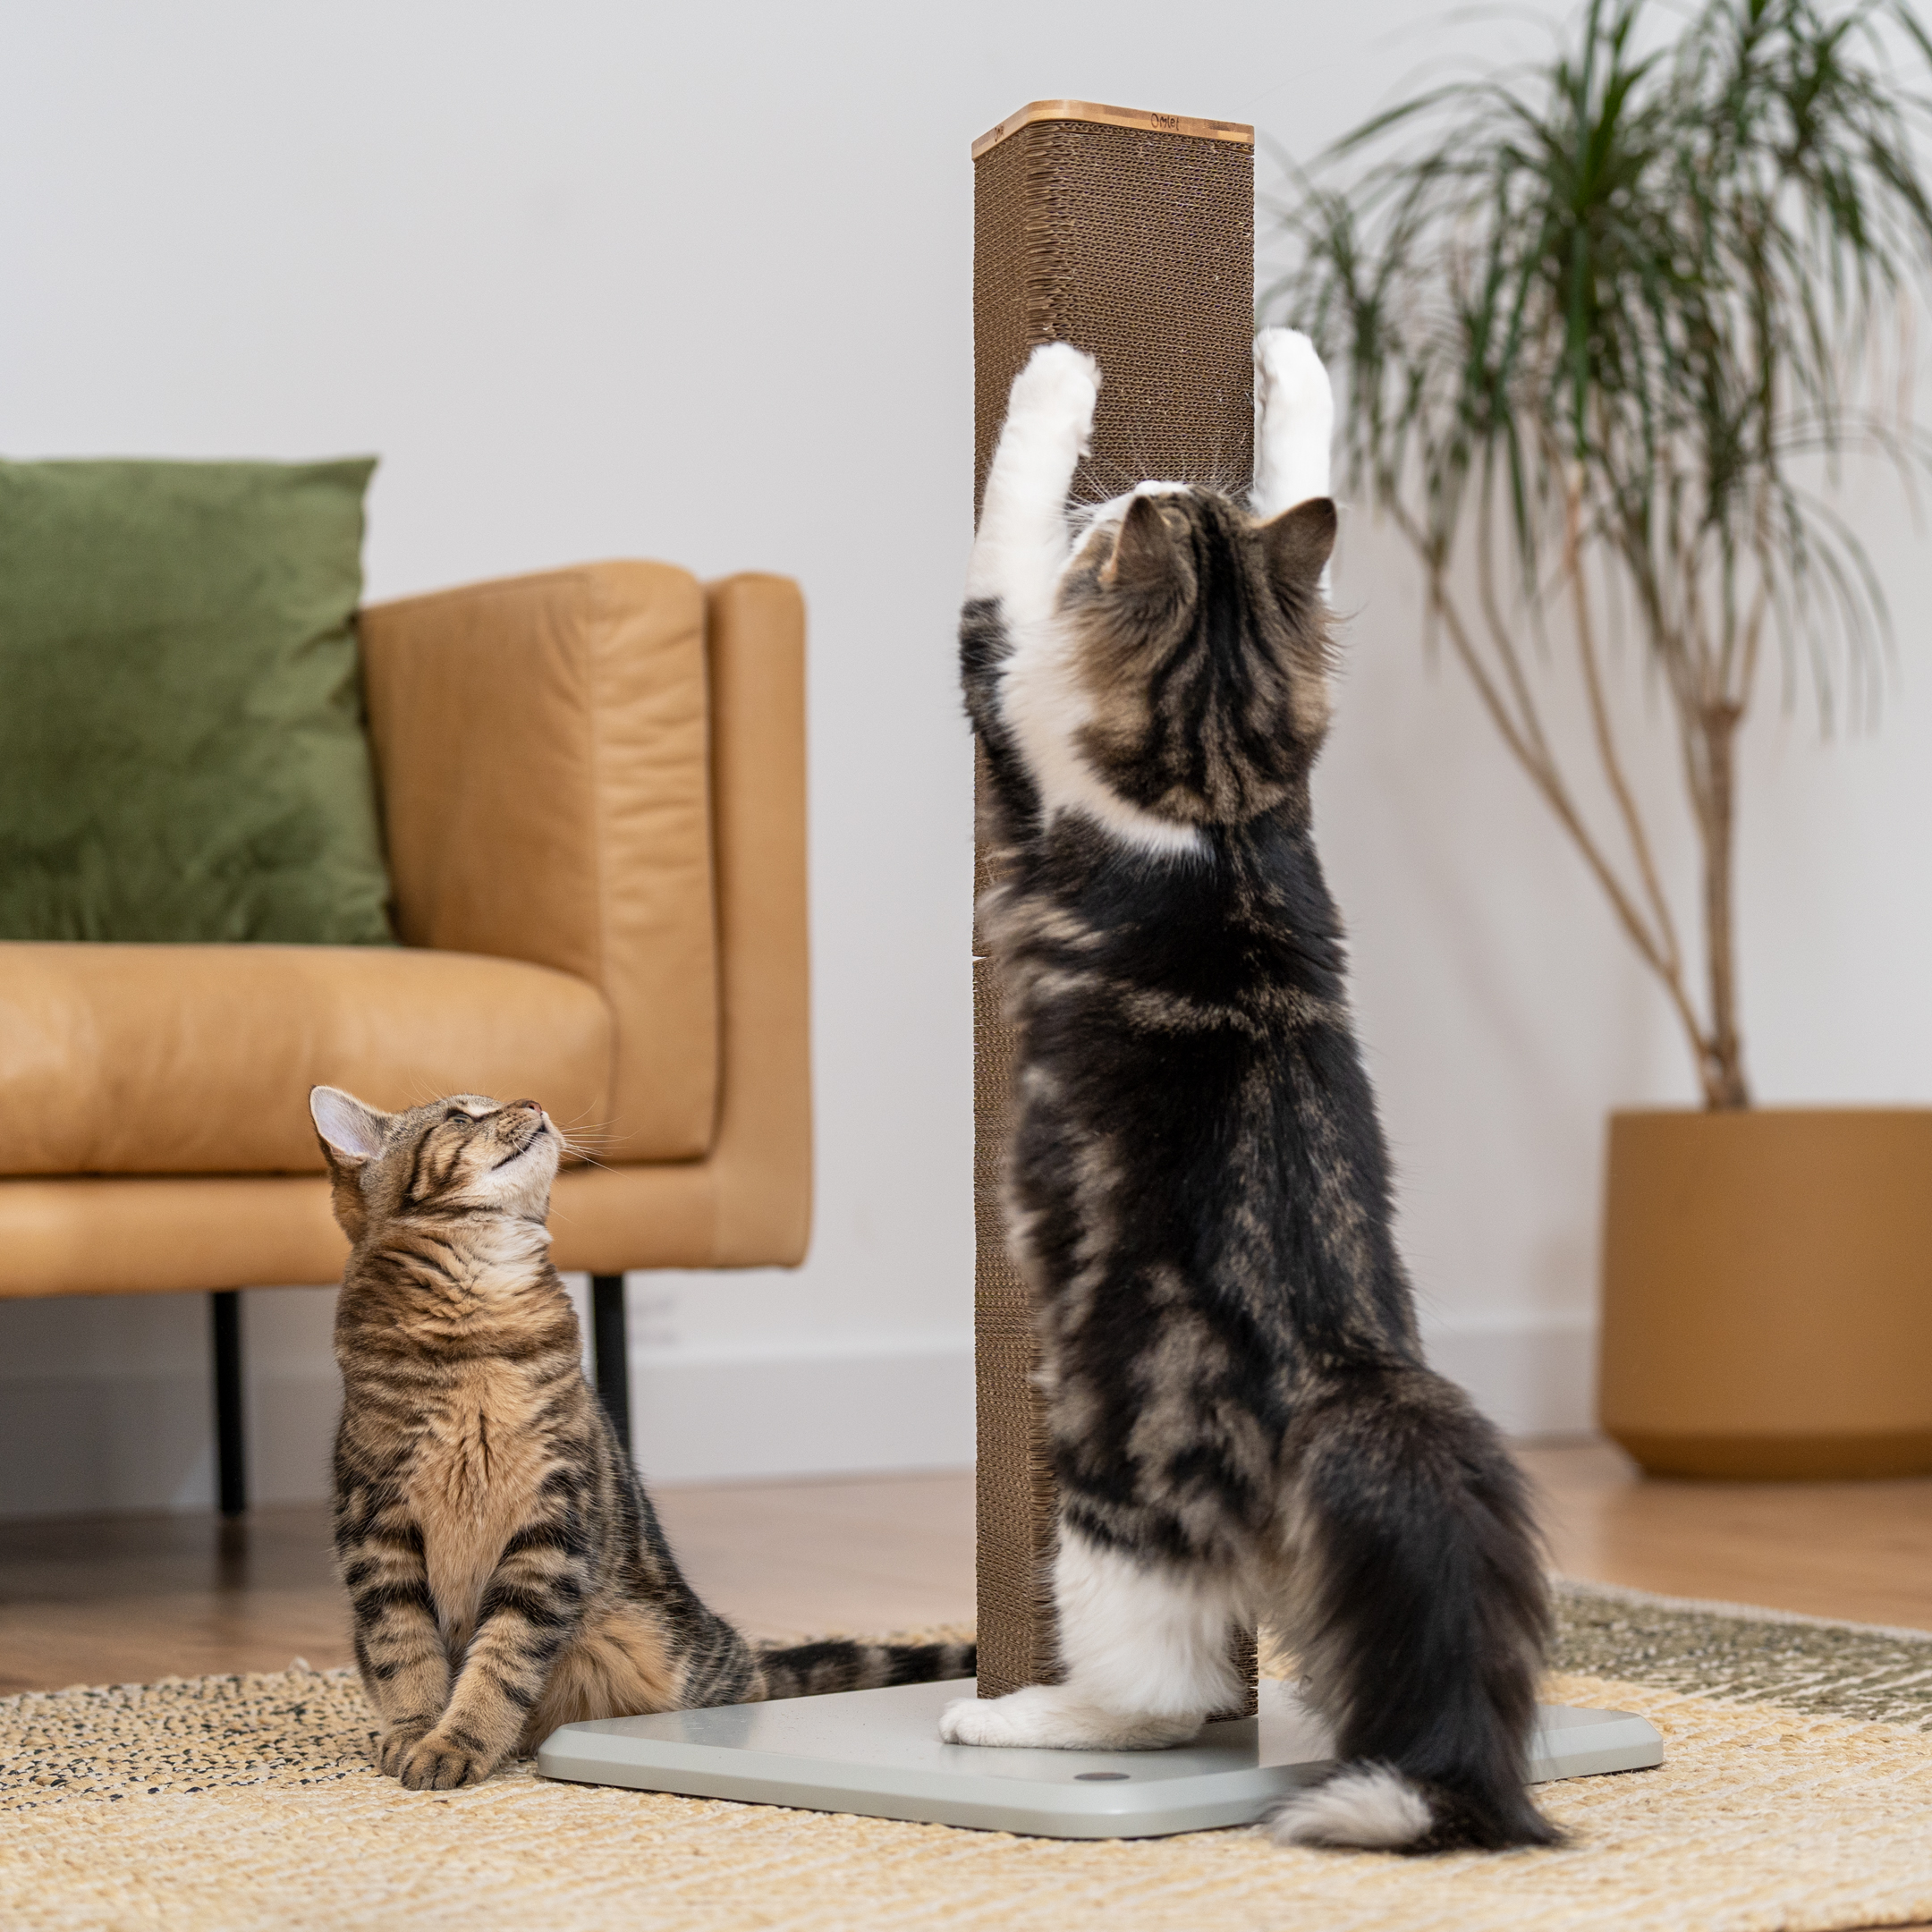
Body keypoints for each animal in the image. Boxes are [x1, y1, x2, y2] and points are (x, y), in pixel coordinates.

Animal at [310, 1089, 973, 1792]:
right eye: (461, 1116)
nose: (533, 1102)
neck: (478, 1332)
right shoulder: (376, 1532)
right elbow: (404, 1653)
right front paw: (415, 1732)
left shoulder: (553, 1528)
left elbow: (502, 1660)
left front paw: (458, 1740)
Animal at [943, 335, 1561, 1854]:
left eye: (1122, 524)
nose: (1144, 485)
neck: (1216, 799)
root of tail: (1346, 1372)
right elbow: (1310, 473)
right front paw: (1294, 364)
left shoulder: (1002, 667)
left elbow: (1003, 514)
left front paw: (1056, 377)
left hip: (1107, 1492)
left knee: (1154, 1697)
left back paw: (1008, 1718)